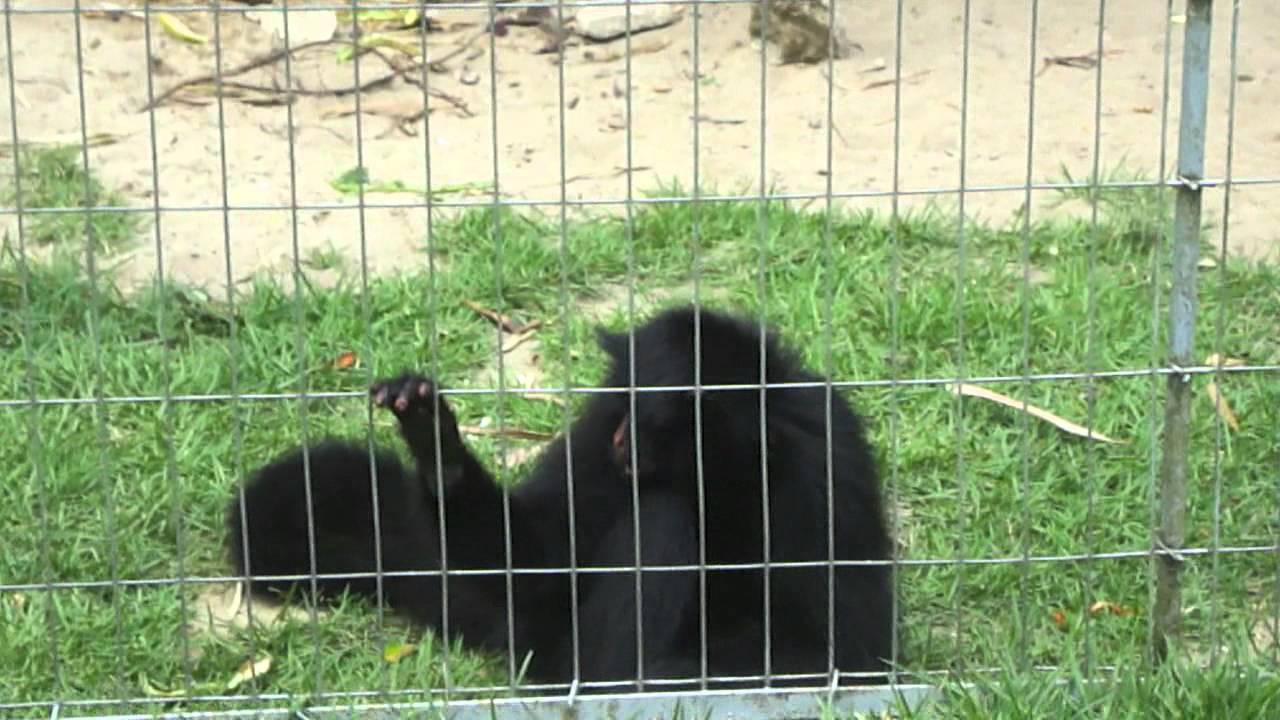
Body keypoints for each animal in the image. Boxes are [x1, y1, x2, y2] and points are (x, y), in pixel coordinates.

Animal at [227, 302, 890, 691]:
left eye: (650, 420)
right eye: (627, 405)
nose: (624, 436)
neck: (726, 470)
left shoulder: (823, 458)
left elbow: (850, 650)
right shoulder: (600, 421)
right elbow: (542, 562)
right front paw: (438, 448)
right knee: (661, 515)